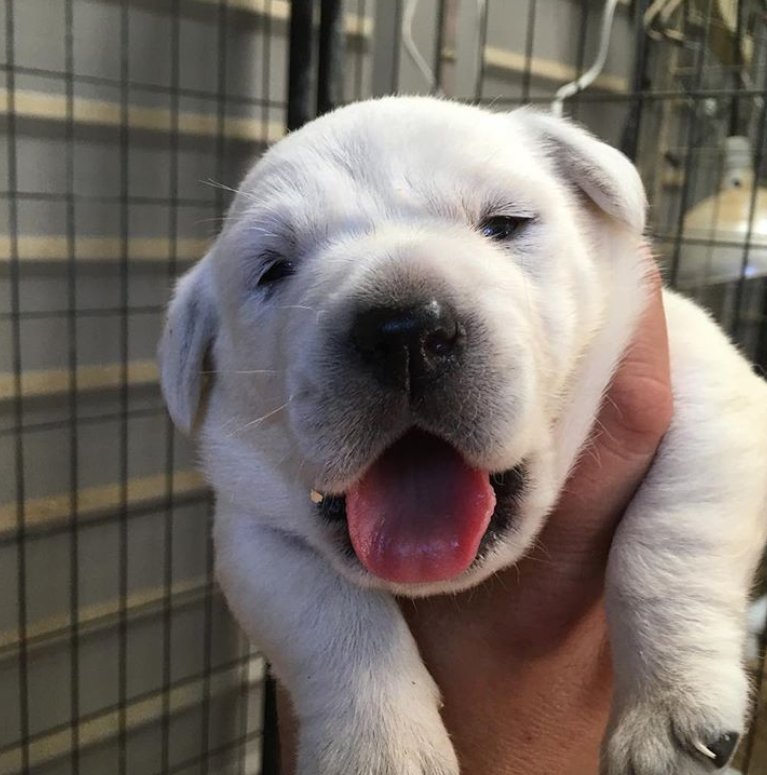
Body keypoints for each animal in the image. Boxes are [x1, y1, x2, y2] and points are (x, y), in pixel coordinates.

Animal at [159, 98, 767, 775]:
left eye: (505, 224)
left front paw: (669, 712)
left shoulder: (710, 385)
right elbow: (327, 617)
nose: (401, 331)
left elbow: (670, 537)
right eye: (273, 269)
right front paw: (380, 746)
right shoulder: (249, 528)